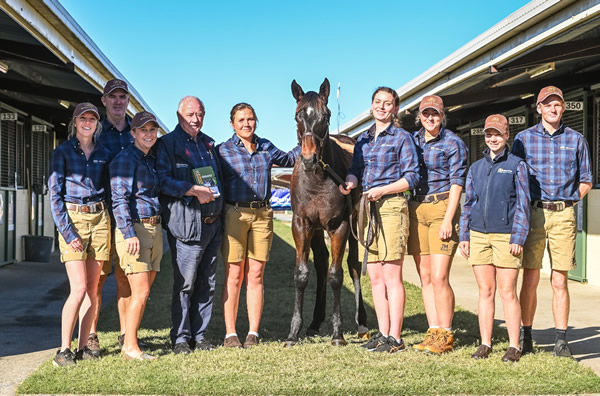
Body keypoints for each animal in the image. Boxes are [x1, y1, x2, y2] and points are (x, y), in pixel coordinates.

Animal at [284, 78, 366, 346]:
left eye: (326, 116)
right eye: (298, 115)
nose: (309, 158)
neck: (318, 179)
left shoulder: (339, 226)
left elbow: (336, 275)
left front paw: (338, 333)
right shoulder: (301, 224)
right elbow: (302, 274)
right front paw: (293, 332)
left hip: (354, 224)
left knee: (353, 264)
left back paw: (362, 323)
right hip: (317, 230)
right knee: (320, 262)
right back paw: (314, 322)